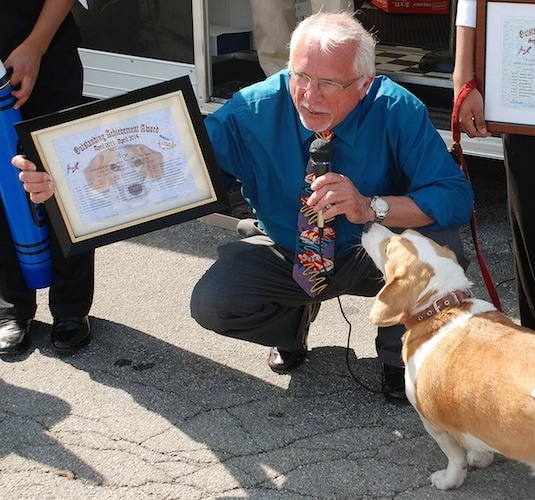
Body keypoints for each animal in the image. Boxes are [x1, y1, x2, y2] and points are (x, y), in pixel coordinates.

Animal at [360, 222, 535, 488]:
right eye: (407, 232)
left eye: (388, 247)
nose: (368, 223)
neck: (441, 306)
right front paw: (480, 457)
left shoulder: (435, 424)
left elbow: (454, 457)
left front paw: (449, 480)